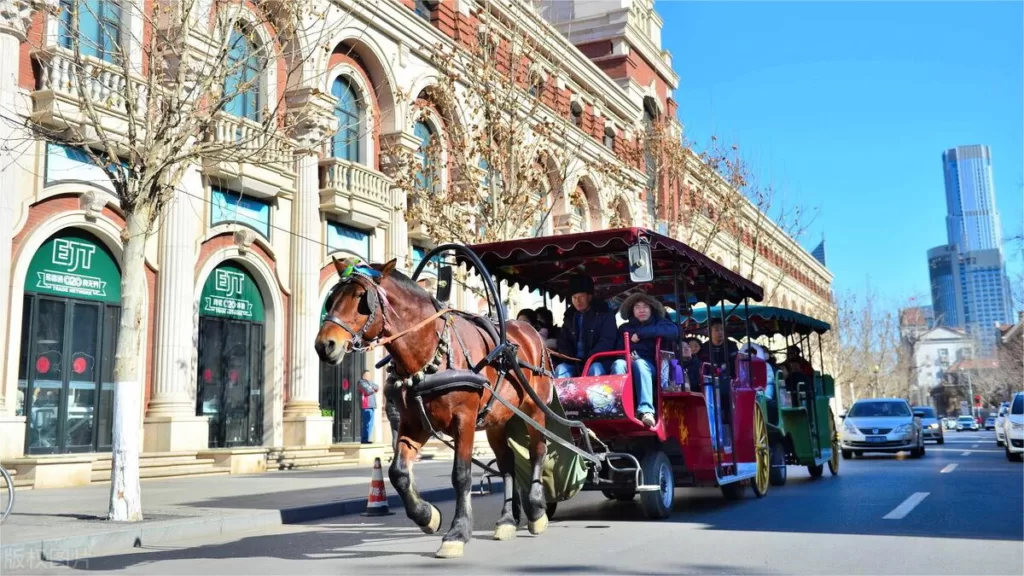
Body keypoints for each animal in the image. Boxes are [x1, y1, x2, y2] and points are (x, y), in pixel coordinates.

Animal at [315, 259, 557, 557]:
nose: (325, 344)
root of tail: (529, 332)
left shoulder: (464, 420)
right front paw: (427, 516)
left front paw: (457, 532)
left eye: (362, 299)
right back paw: (507, 521)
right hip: (497, 420)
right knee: (507, 463)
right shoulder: (413, 423)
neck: (429, 350)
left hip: (535, 410)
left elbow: (461, 475)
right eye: (332, 298)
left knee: (538, 451)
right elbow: (397, 473)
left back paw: (536, 512)